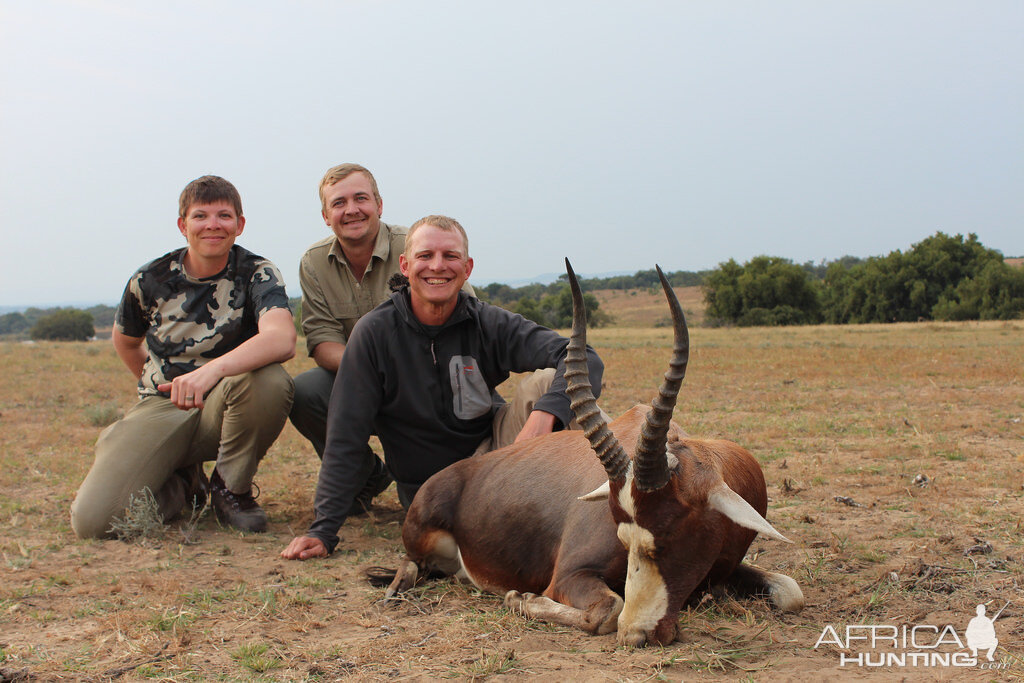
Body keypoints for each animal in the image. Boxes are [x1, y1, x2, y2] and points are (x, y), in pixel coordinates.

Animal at [385, 260, 798, 647]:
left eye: (666, 538)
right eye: (624, 539)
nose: (637, 635)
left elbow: (791, 592)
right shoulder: (570, 576)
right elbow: (609, 609)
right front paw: (520, 598)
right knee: (411, 563)